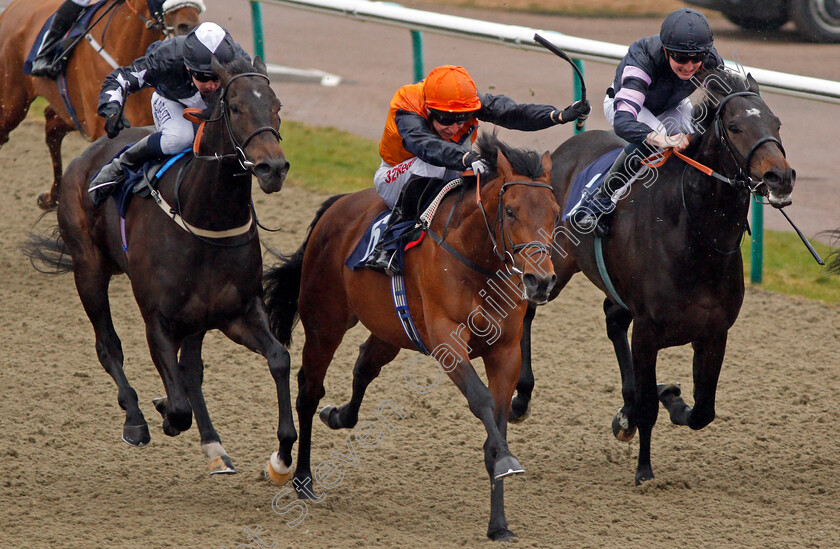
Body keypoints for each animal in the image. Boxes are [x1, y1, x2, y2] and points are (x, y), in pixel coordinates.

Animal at [0, 0, 202, 210]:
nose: (187, 26)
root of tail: (10, 8)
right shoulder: (101, 129)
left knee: (52, 126)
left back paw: (53, 196)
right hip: (11, 103)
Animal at [23, 56, 294, 476]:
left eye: (277, 106)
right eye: (235, 108)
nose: (273, 168)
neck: (205, 215)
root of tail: (87, 155)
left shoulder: (237, 313)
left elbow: (279, 359)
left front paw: (281, 457)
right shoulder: (158, 321)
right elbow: (178, 406)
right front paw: (162, 411)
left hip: (198, 318)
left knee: (191, 370)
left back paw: (213, 445)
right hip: (89, 270)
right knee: (109, 346)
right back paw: (135, 418)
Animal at [266, 133, 560, 540]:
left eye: (555, 211)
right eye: (512, 211)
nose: (541, 280)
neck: (475, 259)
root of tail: (337, 205)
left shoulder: (505, 352)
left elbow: (497, 424)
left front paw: (499, 523)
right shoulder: (448, 341)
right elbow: (481, 400)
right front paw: (506, 460)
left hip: (389, 328)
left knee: (363, 367)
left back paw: (339, 416)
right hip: (325, 322)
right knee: (309, 391)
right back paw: (303, 478)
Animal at [512, 68, 796, 484]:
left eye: (776, 123)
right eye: (735, 126)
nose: (780, 177)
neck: (694, 236)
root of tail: (568, 145)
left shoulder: (714, 333)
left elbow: (702, 411)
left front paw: (667, 398)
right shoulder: (647, 332)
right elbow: (650, 407)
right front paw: (644, 470)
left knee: (613, 319)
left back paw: (625, 409)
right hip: (553, 263)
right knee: (528, 308)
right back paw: (521, 397)